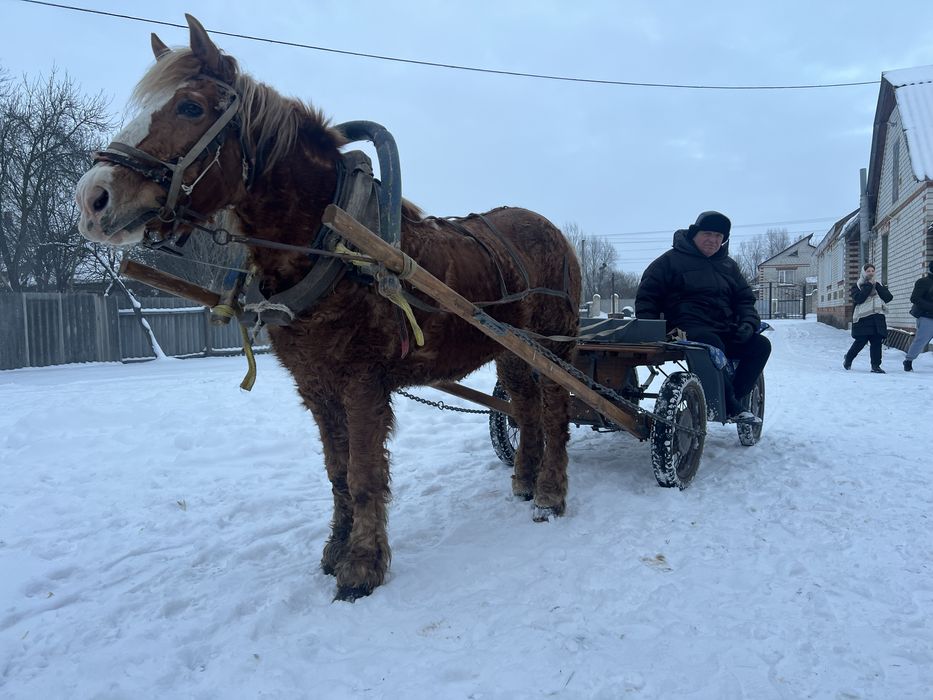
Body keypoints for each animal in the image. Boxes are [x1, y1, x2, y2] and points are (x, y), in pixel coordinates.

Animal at [76, 15, 581, 601]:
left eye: (191, 108)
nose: (92, 199)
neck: (332, 245)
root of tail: (552, 231)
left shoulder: (361, 382)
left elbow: (363, 475)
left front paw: (362, 566)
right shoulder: (315, 384)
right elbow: (337, 473)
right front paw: (336, 550)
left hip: (555, 342)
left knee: (554, 407)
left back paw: (551, 492)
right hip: (511, 349)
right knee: (524, 405)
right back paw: (524, 479)